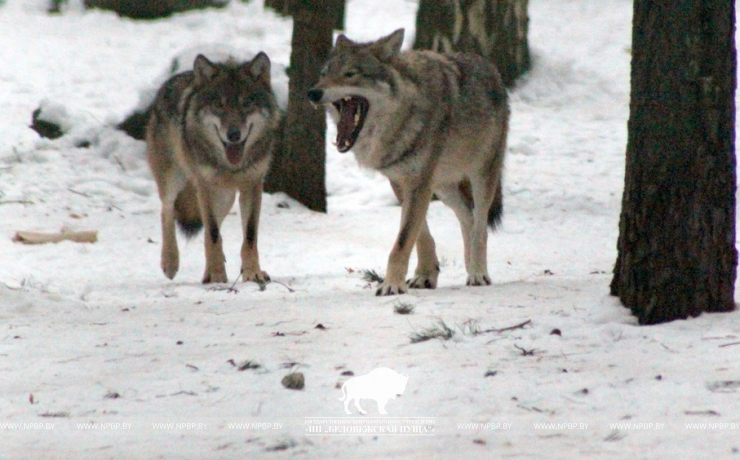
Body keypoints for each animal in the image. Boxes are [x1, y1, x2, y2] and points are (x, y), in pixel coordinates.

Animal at [147, 53, 280, 284]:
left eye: (247, 104)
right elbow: (213, 234)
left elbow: (249, 236)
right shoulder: (204, 186)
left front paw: (252, 272)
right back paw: (170, 263)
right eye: (219, 104)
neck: (230, 167)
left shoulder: (253, 185)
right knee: (167, 210)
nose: (234, 134)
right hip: (175, 180)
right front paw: (217, 275)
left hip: (225, 198)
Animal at [306, 29, 508, 294]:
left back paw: (478, 273)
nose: (312, 93)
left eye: (350, 74)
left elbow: (403, 241)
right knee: (468, 217)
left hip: (481, 176)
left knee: (481, 225)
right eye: (324, 74)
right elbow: (419, 234)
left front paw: (391, 285)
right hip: (443, 187)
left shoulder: (418, 184)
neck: (403, 115)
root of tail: (491, 67)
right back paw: (469, 264)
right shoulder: (402, 182)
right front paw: (424, 276)